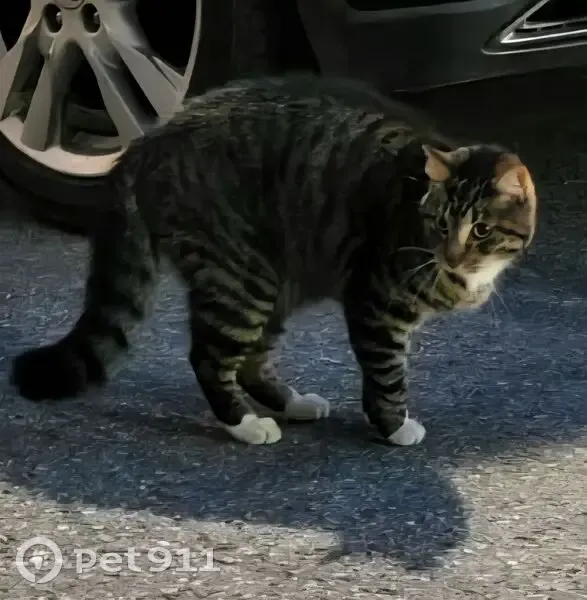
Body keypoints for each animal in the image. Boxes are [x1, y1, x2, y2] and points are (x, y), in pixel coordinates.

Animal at [10, 74, 538, 446]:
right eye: (441, 224)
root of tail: (148, 139)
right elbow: (387, 374)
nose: (451, 254)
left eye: (481, 230)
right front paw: (394, 425)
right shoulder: (375, 304)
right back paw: (245, 424)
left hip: (275, 280)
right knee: (208, 358)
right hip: (243, 278)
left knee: (251, 361)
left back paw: (293, 403)